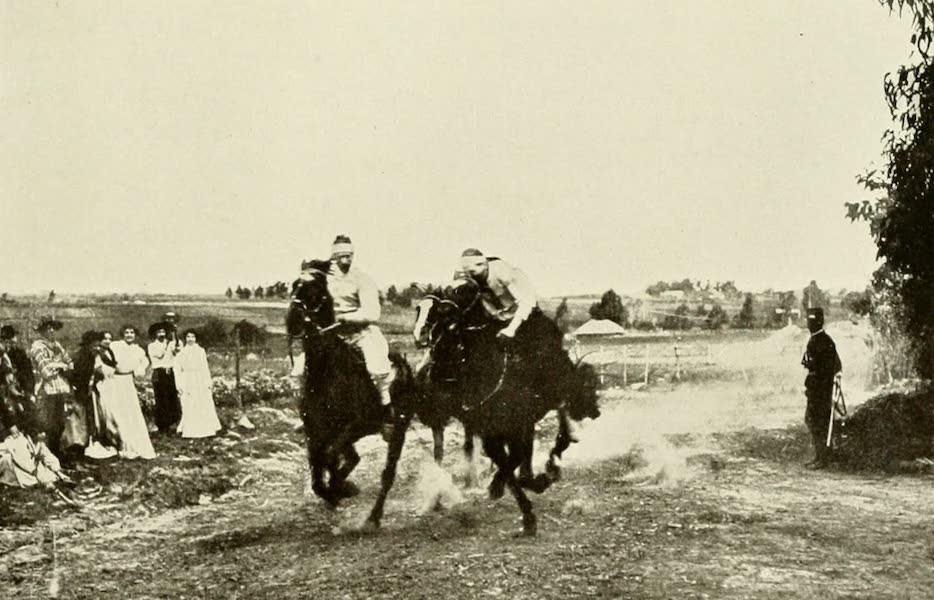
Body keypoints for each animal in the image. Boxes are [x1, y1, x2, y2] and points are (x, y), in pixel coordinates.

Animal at [286, 262, 416, 528]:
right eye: (294, 284)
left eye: (316, 289)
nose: (293, 317)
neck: (326, 373)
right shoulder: (315, 432)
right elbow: (318, 474)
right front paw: (337, 490)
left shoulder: (354, 427)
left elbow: (328, 459)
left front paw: (342, 488)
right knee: (352, 458)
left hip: (398, 430)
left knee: (387, 475)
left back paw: (373, 517)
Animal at [414, 282, 604, 536]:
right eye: (417, 310)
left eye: (442, 311)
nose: (420, 338)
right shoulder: (492, 431)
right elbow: (510, 464)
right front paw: (523, 505)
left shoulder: (520, 423)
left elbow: (516, 461)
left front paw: (523, 488)